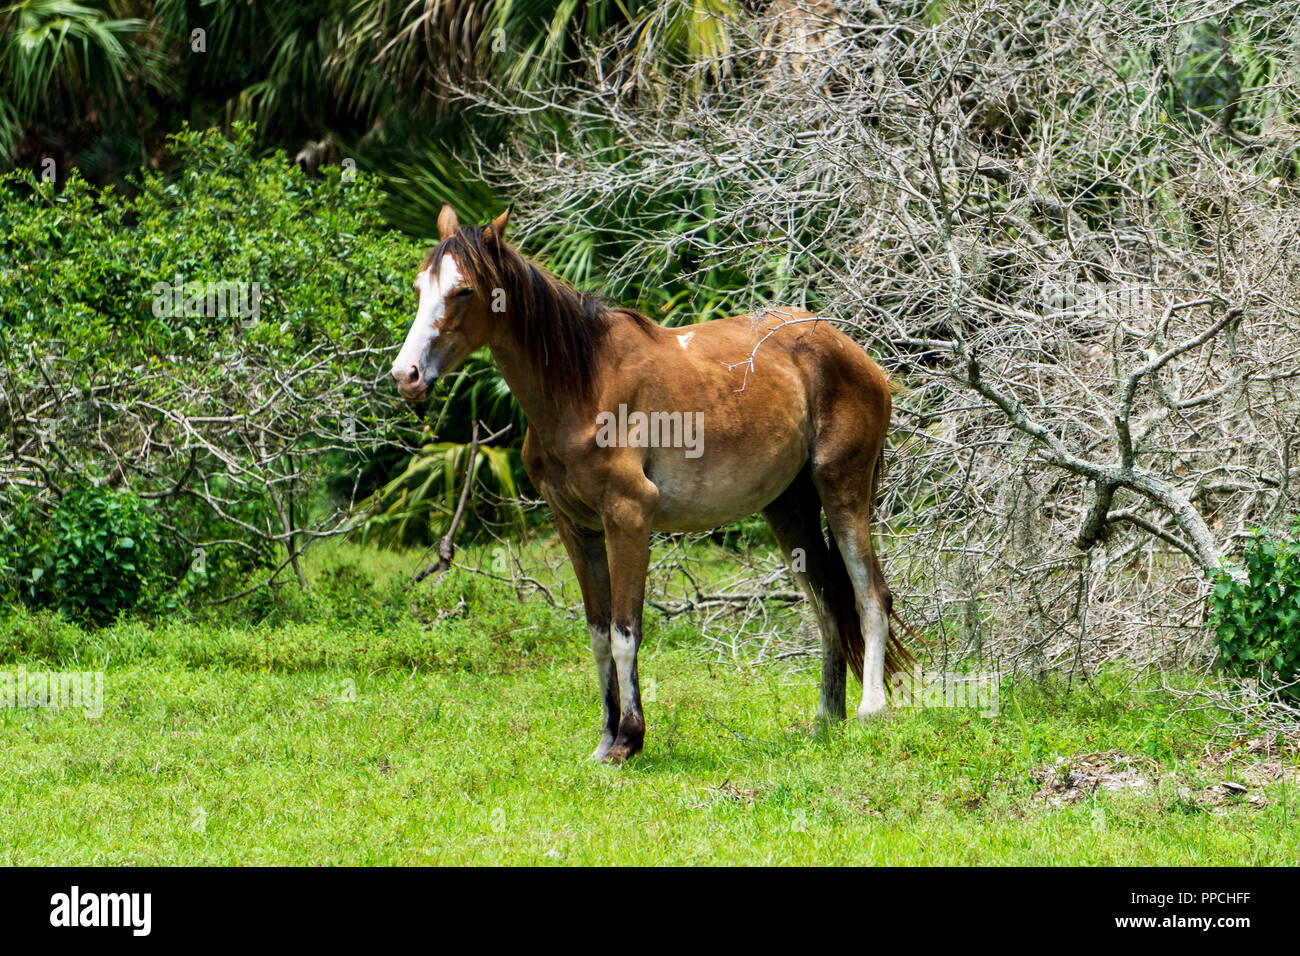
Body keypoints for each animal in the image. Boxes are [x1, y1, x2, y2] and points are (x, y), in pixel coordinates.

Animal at [390, 208, 909, 764]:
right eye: (420, 286)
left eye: (463, 290)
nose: (406, 375)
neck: (581, 385)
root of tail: (853, 353)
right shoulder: (577, 529)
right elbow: (598, 634)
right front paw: (604, 741)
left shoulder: (629, 517)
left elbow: (625, 631)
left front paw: (628, 740)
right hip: (788, 511)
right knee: (829, 605)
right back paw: (825, 720)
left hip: (842, 490)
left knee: (870, 595)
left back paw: (871, 711)